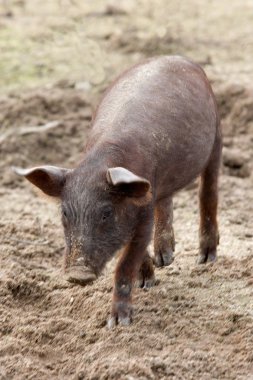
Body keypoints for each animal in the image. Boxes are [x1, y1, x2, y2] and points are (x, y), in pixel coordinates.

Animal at [13, 55, 221, 326]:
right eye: (65, 213)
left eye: (106, 213)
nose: (78, 273)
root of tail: (181, 58)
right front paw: (146, 283)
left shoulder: (143, 214)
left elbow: (125, 264)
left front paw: (118, 323)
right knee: (167, 200)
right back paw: (165, 259)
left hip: (217, 135)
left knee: (209, 192)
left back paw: (206, 259)